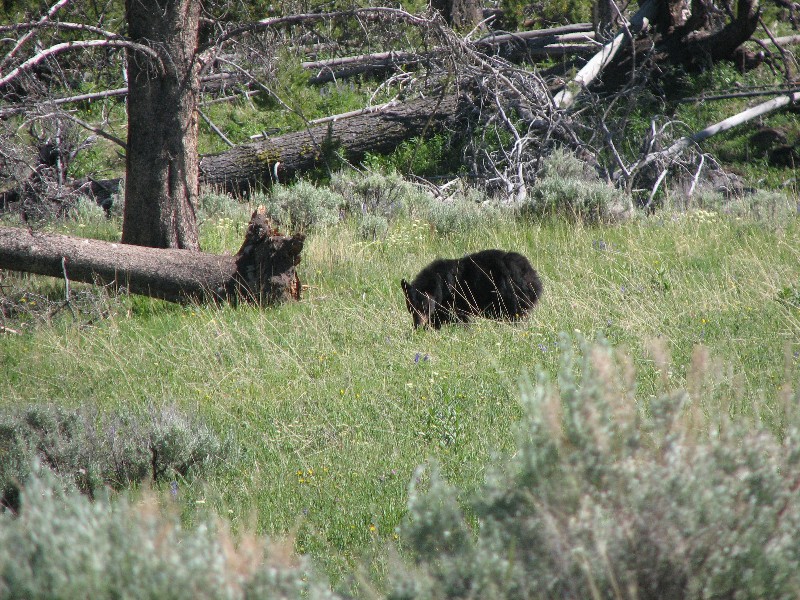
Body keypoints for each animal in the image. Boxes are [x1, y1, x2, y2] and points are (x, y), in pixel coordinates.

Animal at [400, 251, 544, 330]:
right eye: (411, 308)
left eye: (424, 307)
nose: (417, 325)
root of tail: (531, 273)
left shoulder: (453, 300)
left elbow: (456, 318)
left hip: (510, 294)